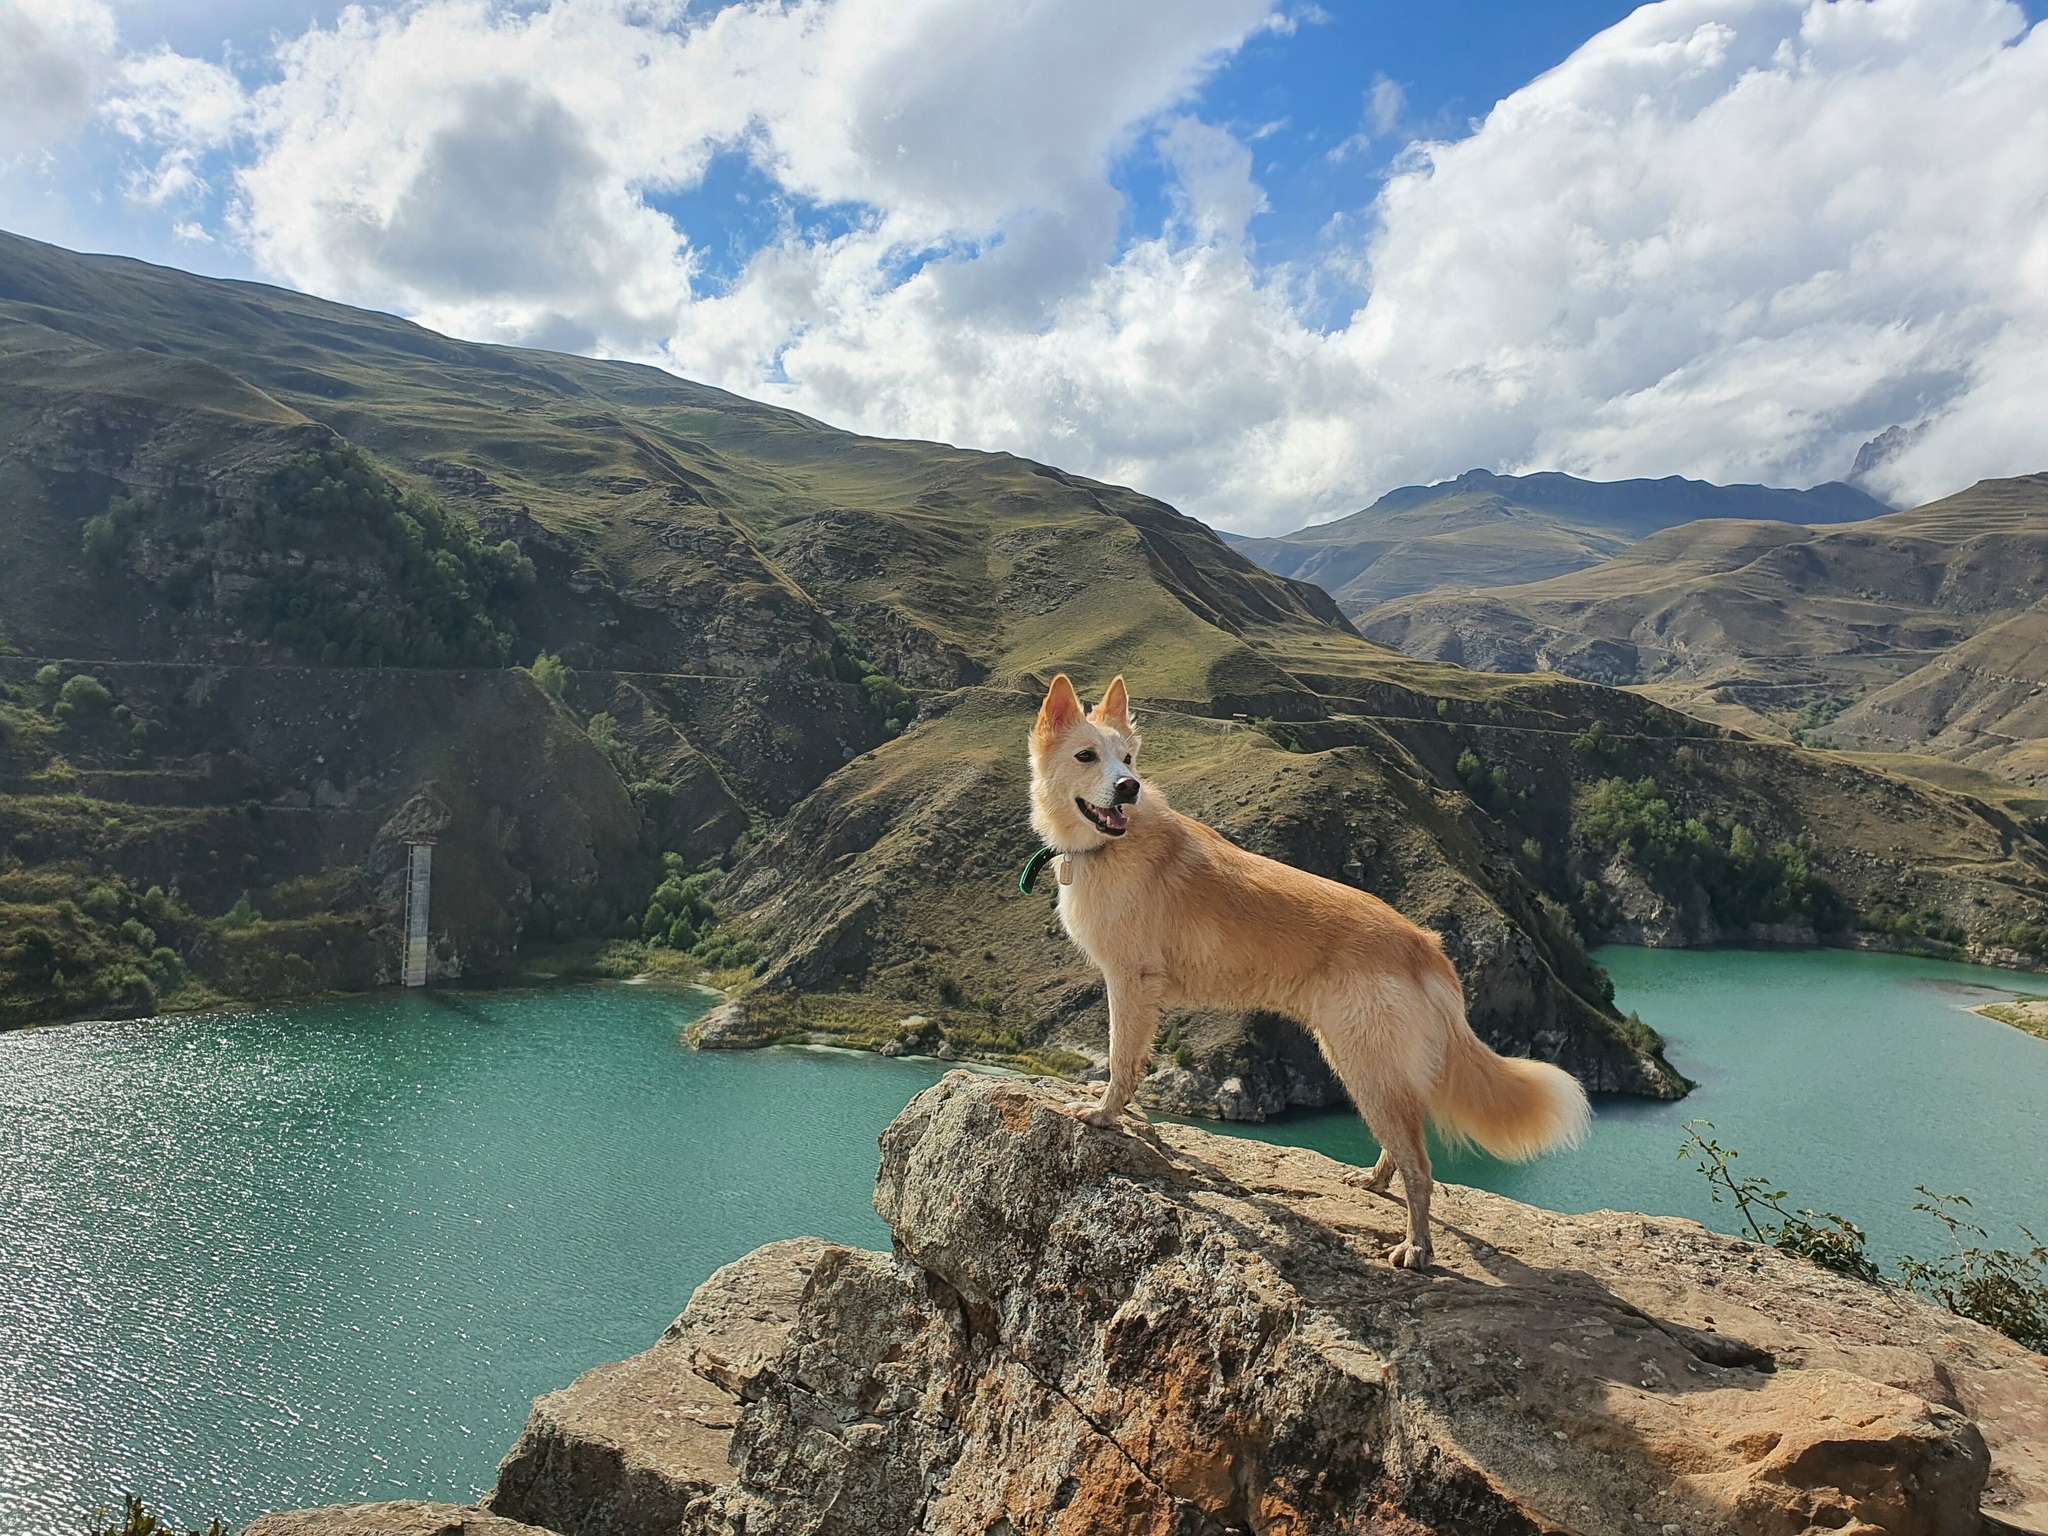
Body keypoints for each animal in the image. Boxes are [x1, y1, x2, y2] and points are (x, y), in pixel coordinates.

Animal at [1032, 675, 1589, 1277]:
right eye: (1087, 756)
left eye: (1128, 759)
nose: (1129, 788)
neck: (1113, 846)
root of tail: (1423, 946)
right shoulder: (1141, 992)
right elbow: (1134, 1061)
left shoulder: (1130, 983)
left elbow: (1120, 1058)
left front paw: (1105, 1114)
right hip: (1365, 1062)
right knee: (1406, 1139)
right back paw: (1374, 1180)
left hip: (1364, 1063)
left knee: (1421, 1166)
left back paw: (1417, 1246)